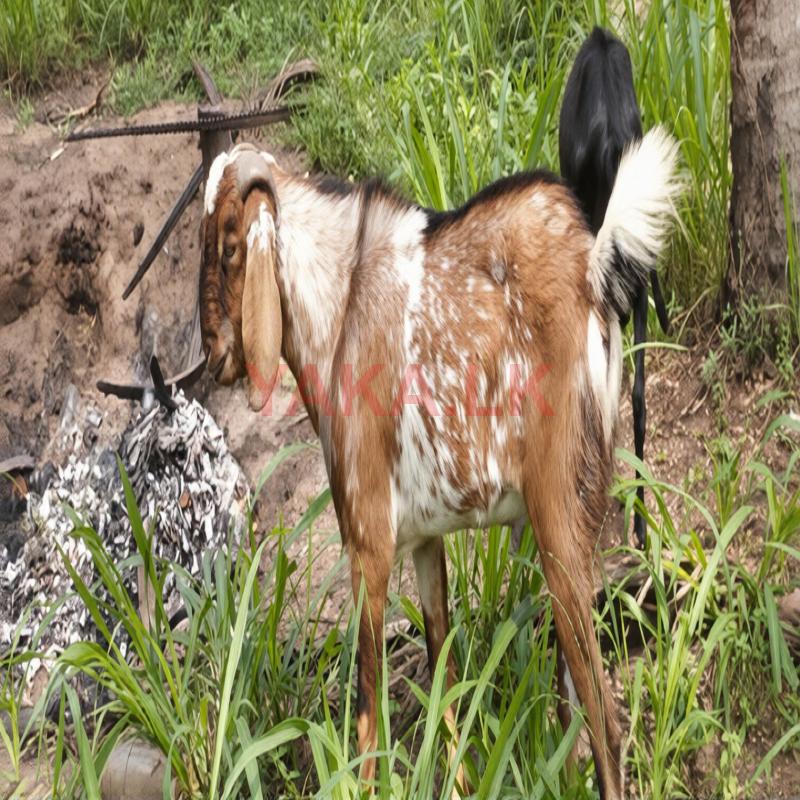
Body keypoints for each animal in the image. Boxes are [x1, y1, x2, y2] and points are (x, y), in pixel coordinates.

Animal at [198, 131, 680, 799]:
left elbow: (368, 704)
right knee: (571, 704)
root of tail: (593, 269)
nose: (212, 351)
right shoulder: (425, 543)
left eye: (229, 245)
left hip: (558, 519)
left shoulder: (367, 542)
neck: (341, 311)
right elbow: (443, 679)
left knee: (606, 724)